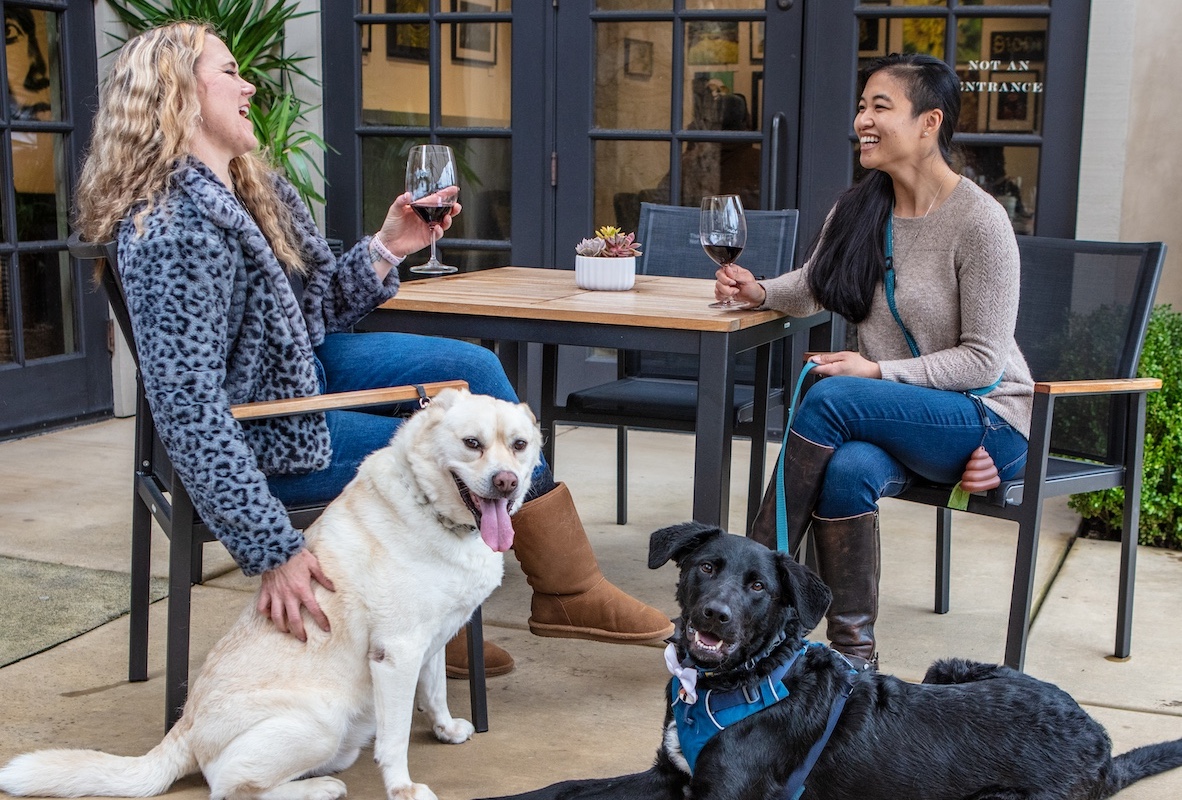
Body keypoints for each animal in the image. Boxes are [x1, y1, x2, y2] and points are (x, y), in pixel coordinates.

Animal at [0, 387, 541, 798]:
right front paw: (402, 788)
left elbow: (434, 692)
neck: (432, 509)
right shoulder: (397, 654)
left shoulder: (430, 641)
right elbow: (395, 739)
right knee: (229, 787)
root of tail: (184, 729)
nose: (506, 482)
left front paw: (446, 729)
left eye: (518, 445)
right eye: (471, 443)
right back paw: (319, 789)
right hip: (320, 721)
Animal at [477, 524, 1182, 798]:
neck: (737, 683)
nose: (715, 617)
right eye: (706, 568)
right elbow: (569, 787)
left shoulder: (717, 796)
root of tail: (1101, 739)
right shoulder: (672, 777)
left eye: (760, 588)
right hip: (947, 667)